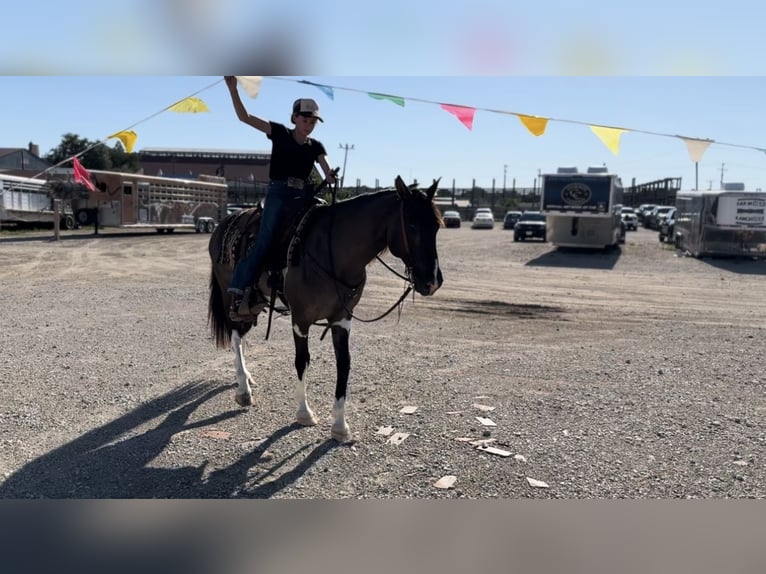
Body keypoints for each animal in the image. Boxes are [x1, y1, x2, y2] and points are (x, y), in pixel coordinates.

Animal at [207, 178, 448, 444]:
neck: (332, 252)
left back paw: (247, 378)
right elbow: (302, 360)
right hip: (232, 297)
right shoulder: (300, 319)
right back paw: (243, 390)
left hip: (256, 303)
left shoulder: (342, 319)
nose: (433, 281)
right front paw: (304, 412)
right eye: (412, 225)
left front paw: (340, 425)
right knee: (235, 335)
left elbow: (344, 364)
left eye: (436, 226)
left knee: (239, 335)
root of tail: (223, 224)